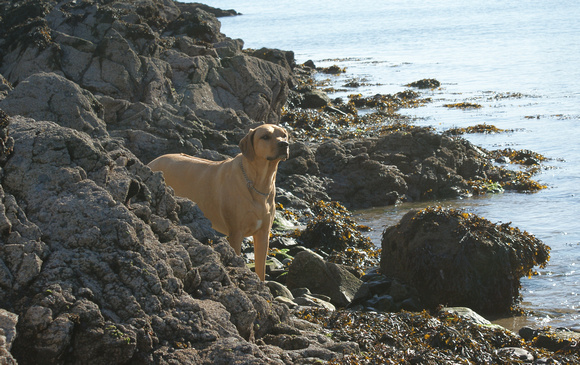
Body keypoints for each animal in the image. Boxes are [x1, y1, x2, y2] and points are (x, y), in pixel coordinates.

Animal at [147, 123, 288, 280]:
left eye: (284, 135)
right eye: (265, 136)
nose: (284, 144)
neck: (259, 182)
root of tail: (152, 162)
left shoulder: (263, 234)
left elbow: (261, 270)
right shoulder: (236, 233)